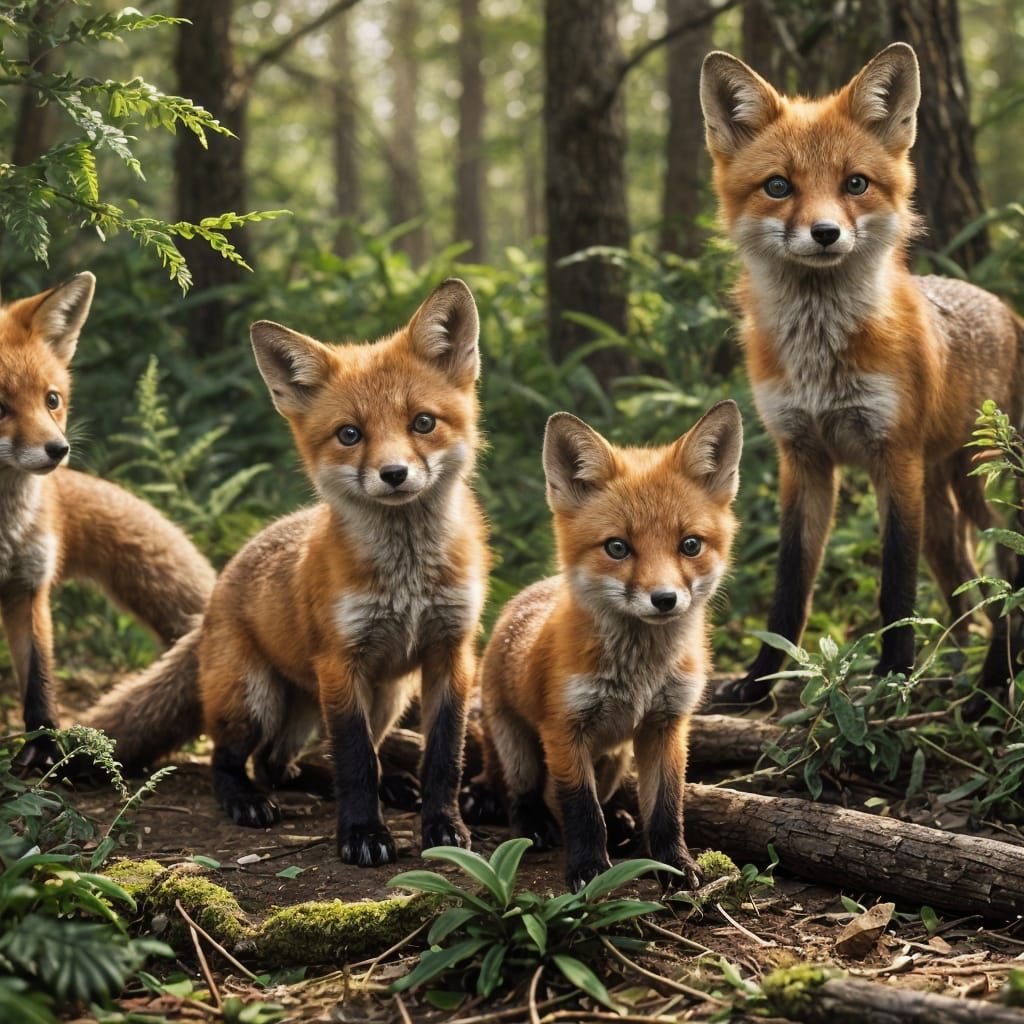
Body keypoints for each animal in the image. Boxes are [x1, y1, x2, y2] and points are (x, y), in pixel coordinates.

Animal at [88, 279, 488, 865]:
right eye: (349, 434)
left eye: (423, 423)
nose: (394, 474)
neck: (407, 578)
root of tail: (222, 584)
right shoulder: (340, 663)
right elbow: (354, 761)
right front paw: (362, 835)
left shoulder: (450, 654)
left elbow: (442, 758)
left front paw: (445, 827)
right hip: (255, 699)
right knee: (235, 760)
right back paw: (247, 801)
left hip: (379, 697)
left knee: (280, 762)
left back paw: (377, 784)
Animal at [474, 403, 742, 891]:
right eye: (617, 547)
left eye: (690, 545)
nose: (664, 599)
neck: (640, 674)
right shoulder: (564, 728)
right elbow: (581, 809)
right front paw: (588, 870)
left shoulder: (666, 724)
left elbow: (666, 807)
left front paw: (675, 865)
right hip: (519, 746)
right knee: (523, 792)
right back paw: (534, 824)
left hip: (616, 757)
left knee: (597, 794)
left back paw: (618, 820)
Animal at [699, 43, 1024, 705]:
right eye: (778, 187)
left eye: (856, 184)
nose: (826, 233)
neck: (821, 362)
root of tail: (1006, 308)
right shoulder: (802, 457)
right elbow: (791, 583)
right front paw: (760, 679)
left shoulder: (891, 454)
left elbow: (894, 585)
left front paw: (894, 673)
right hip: (946, 507)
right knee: (972, 591)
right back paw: (966, 672)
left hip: (987, 488)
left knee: (1011, 573)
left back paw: (992, 678)